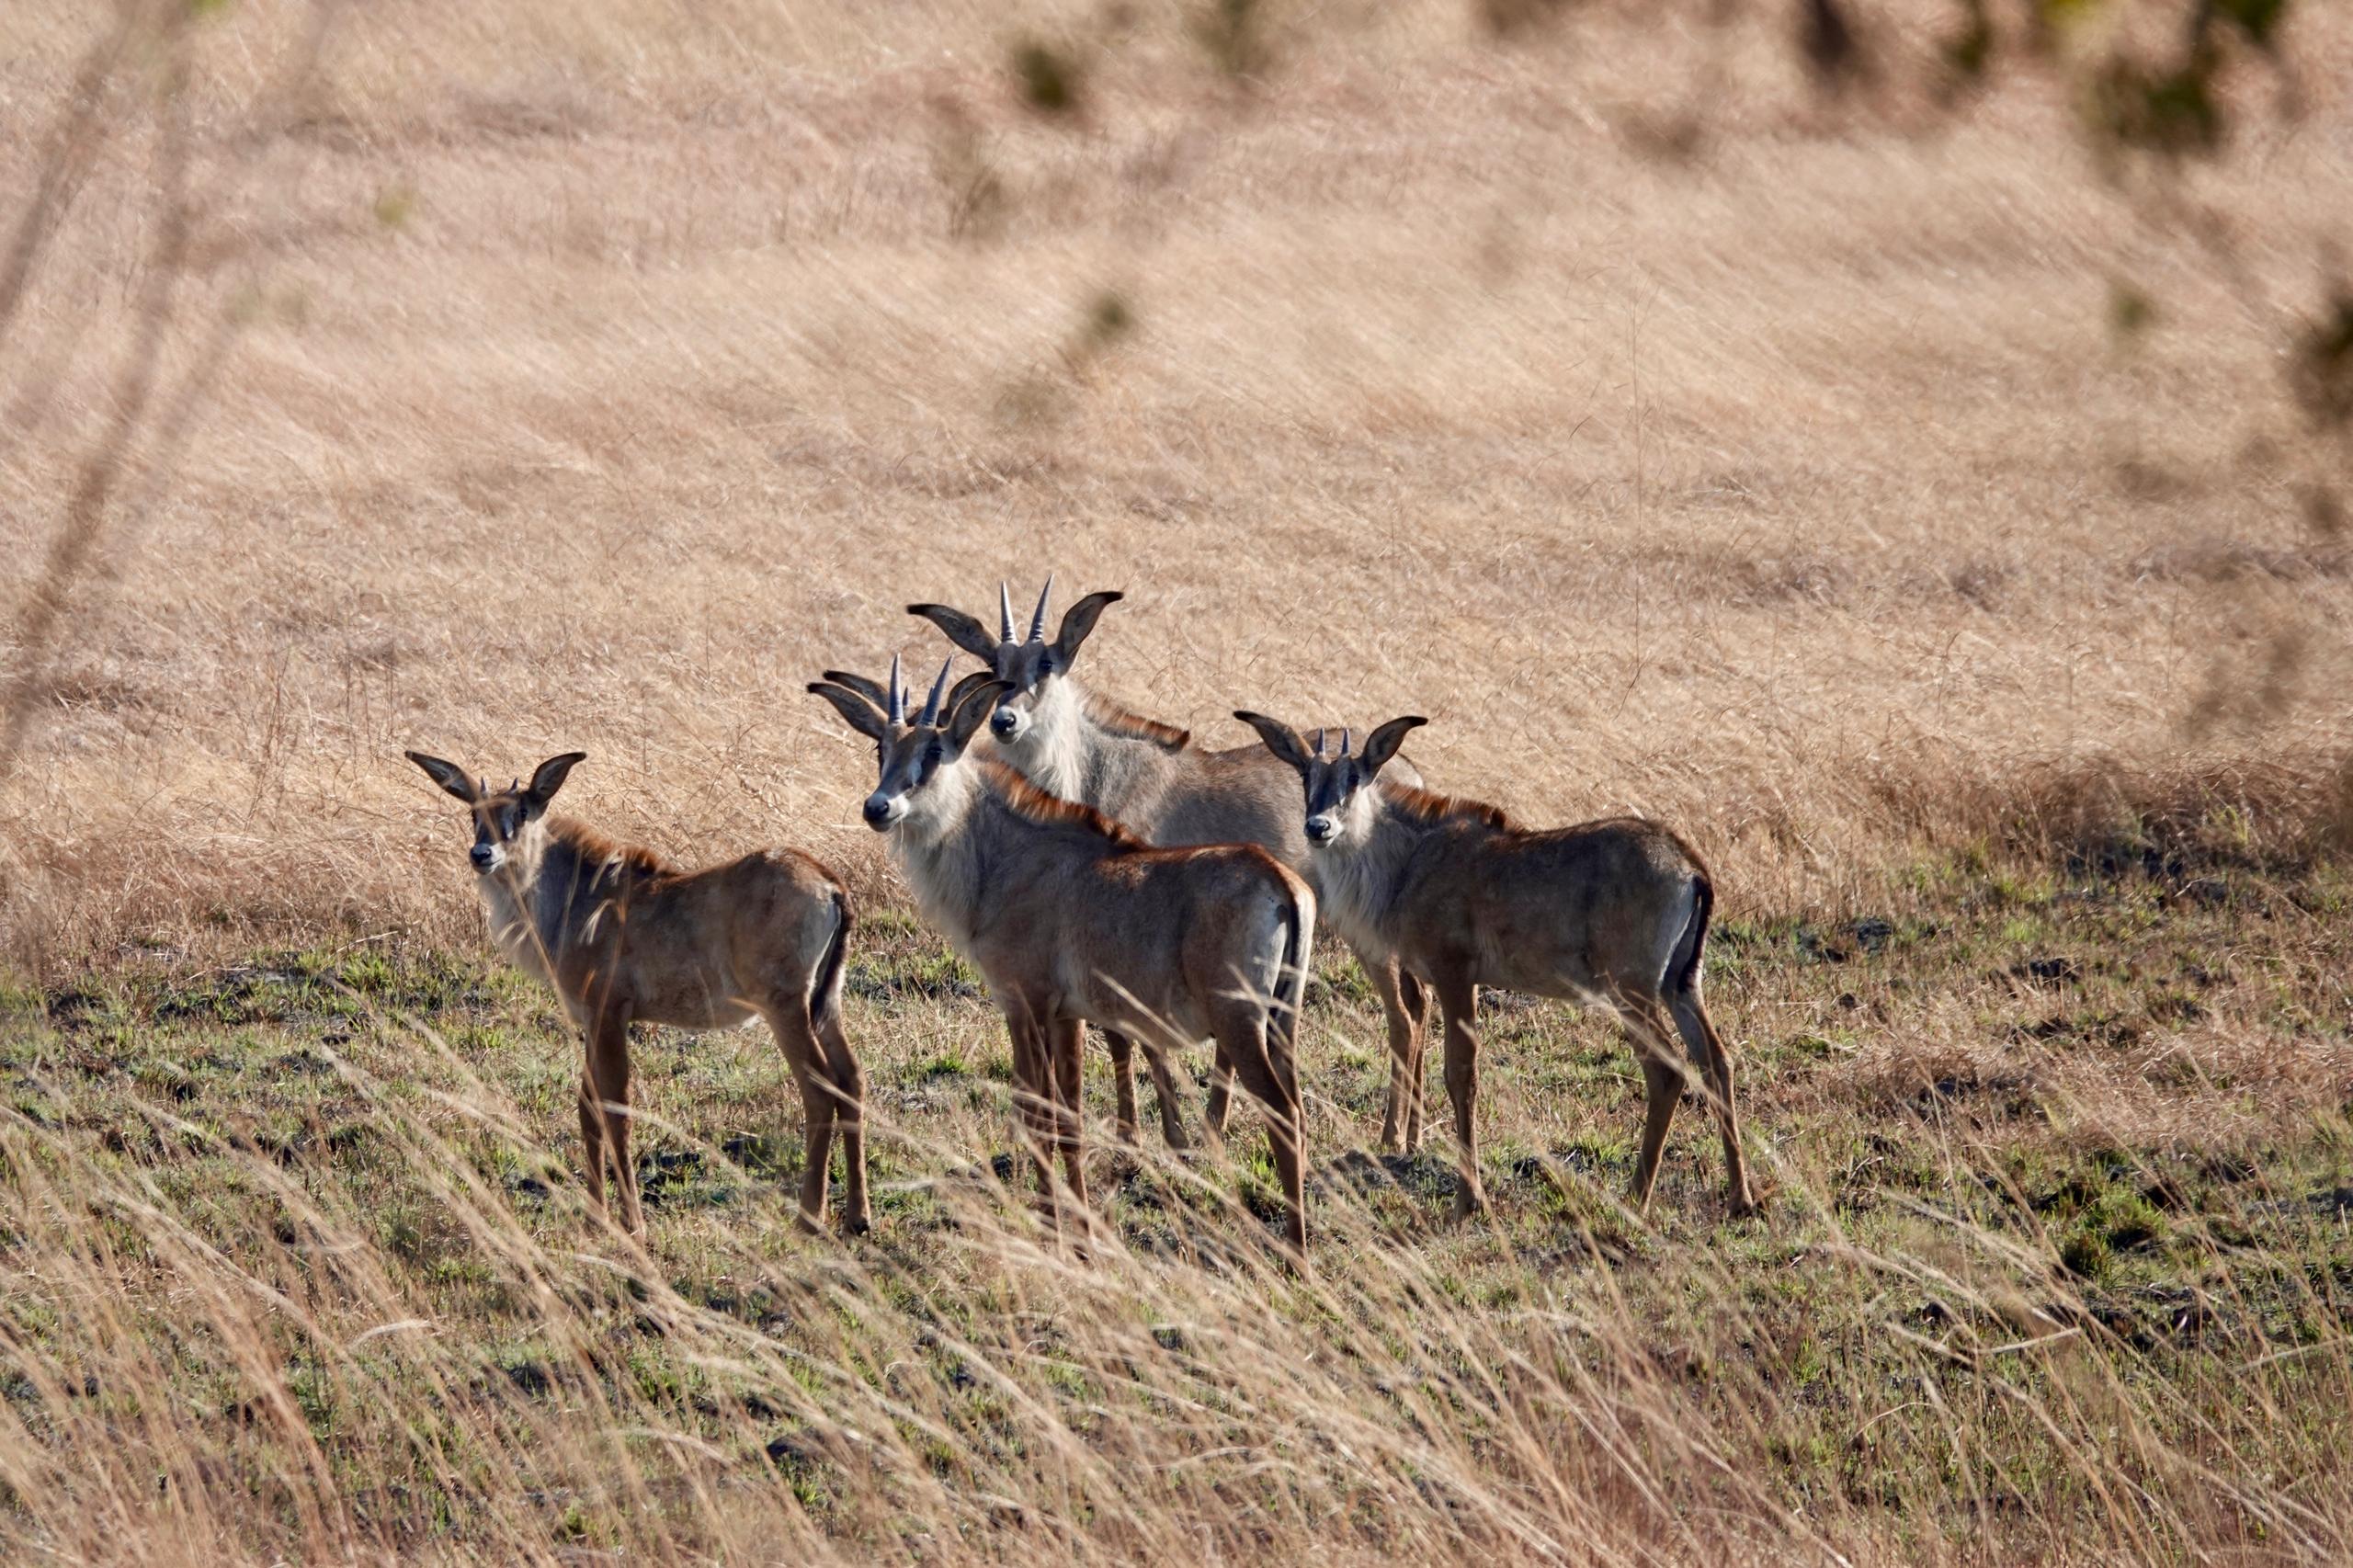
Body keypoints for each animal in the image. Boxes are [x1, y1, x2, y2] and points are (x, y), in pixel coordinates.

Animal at [400, 748, 870, 1233]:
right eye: (475, 814)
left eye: (523, 811)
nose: (482, 854)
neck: (575, 899)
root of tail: (831, 886)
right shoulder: (590, 1019)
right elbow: (586, 1107)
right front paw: (596, 1214)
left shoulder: (610, 1012)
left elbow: (615, 1109)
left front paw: (633, 1222)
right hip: (826, 1004)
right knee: (852, 1080)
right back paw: (858, 1217)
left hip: (785, 1006)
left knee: (820, 1091)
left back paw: (810, 1217)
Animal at [809, 654, 1326, 1252]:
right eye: (881, 749)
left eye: (934, 751)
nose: (879, 807)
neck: (1004, 857)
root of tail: (1279, 880)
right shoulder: (1068, 1015)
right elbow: (1066, 1117)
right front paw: (1067, 1218)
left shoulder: (1024, 1003)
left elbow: (1041, 1116)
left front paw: (1059, 1226)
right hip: (1282, 1023)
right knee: (1298, 1114)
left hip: (1241, 1022)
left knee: (1282, 1114)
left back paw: (1297, 1252)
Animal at [913, 574, 1430, 1149]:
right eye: (994, 665)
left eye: (1046, 663)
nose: (1004, 721)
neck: (1094, 771)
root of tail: (1409, 773)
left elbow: (1128, 1037)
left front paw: (1144, 1132)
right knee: (1420, 1003)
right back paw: (1414, 1133)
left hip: (1365, 932)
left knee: (1403, 1015)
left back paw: (1392, 1136)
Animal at [1242, 715, 1759, 1214]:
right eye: (1307, 776)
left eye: (1354, 778)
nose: (1318, 827)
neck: (1409, 860)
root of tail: (1689, 867)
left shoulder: (1454, 973)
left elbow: (1461, 1076)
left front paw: (1469, 1200)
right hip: (1681, 984)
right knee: (1717, 1061)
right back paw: (1740, 1197)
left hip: (1632, 989)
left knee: (1667, 1072)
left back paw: (1637, 1195)